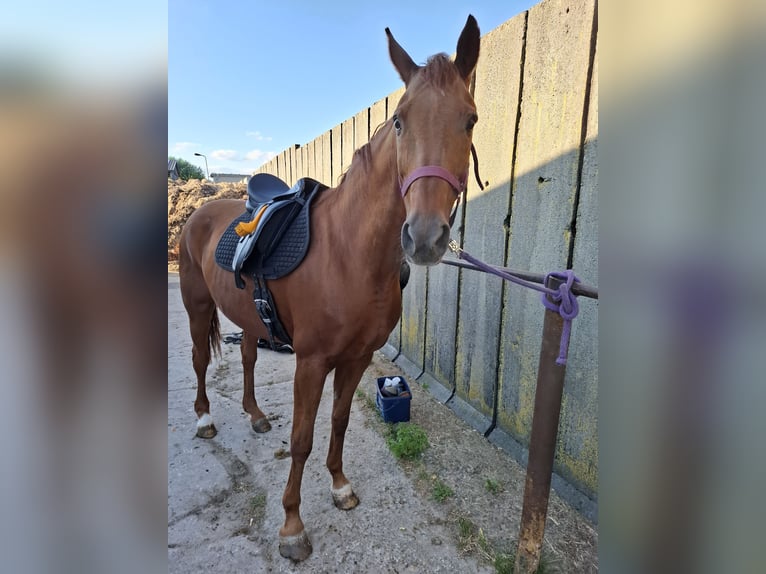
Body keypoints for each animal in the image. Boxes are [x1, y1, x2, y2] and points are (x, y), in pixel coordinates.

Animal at [178, 14, 480, 564]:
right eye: (399, 120)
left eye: (469, 119)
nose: (425, 237)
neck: (349, 253)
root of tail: (203, 212)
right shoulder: (312, 362)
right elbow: (302, 438)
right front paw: (292, 527)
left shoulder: (357, 357)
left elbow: (337, 421)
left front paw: (340, 487)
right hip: (196, 305)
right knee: (198, 359)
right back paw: (205, 420)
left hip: (250, 316)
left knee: (248, 357)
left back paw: (255, 415)